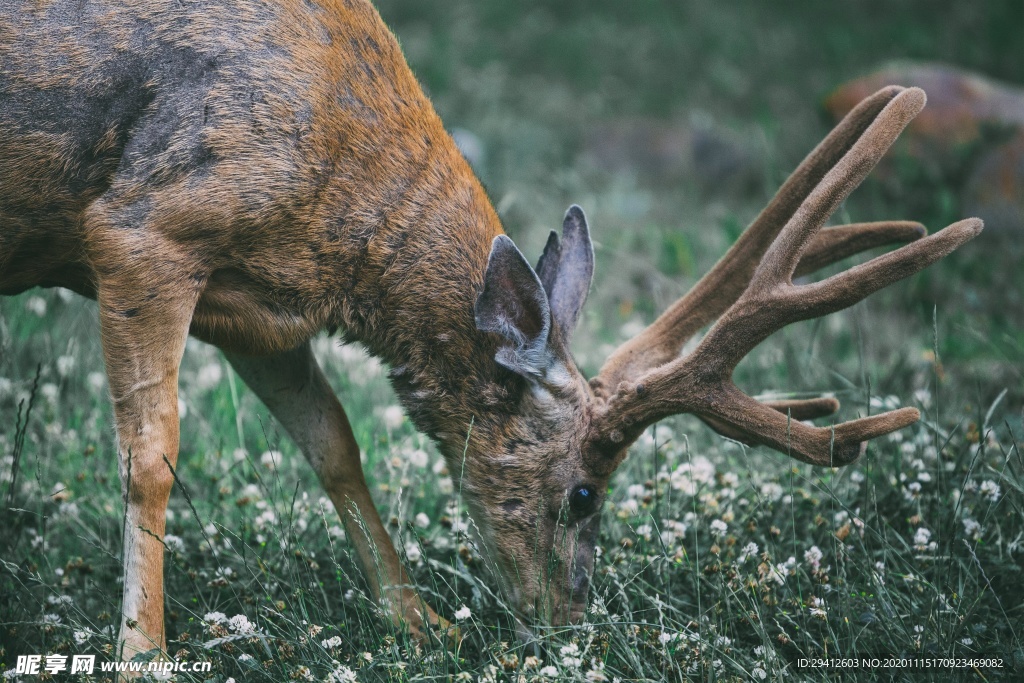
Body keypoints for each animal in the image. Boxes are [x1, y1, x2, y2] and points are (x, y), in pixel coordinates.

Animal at [0, 0, 983, 667]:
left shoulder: (257, 309)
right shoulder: (144, 230)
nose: (567, 621)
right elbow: (151, 456)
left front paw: (418, 621)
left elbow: (335, 443)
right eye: (584, 493)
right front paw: (143, 649)